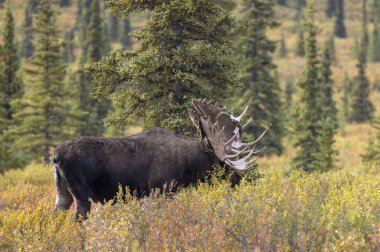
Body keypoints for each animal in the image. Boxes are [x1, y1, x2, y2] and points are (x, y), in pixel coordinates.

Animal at [53, 99, 266, 220]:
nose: (238, 180)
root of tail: (56, 156)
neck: (188, 166)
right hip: (82, 195)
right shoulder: (158, 191)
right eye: (222, 163)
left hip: (63, 194)